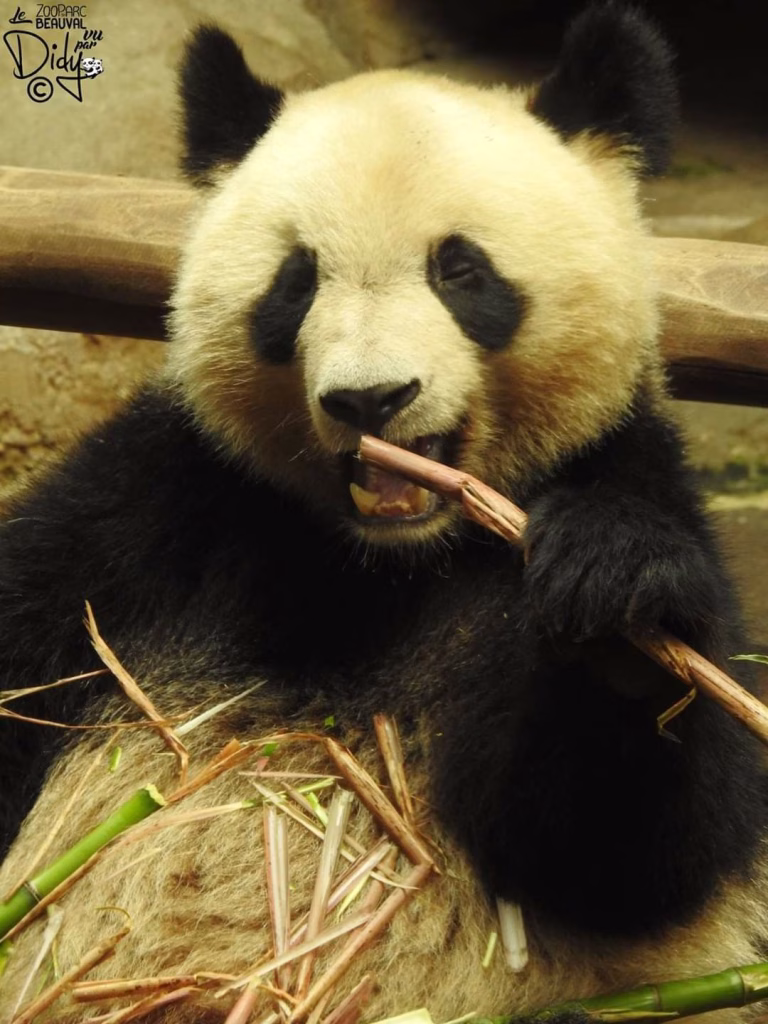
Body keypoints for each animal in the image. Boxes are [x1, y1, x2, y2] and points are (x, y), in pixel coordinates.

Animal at [2, 4, 768, 1022]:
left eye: (461, 270)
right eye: (296, 280)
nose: (371, 400)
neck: (389, 557)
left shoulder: (623, 466)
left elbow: (635, 862)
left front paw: (614, 596)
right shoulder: (151, 511)